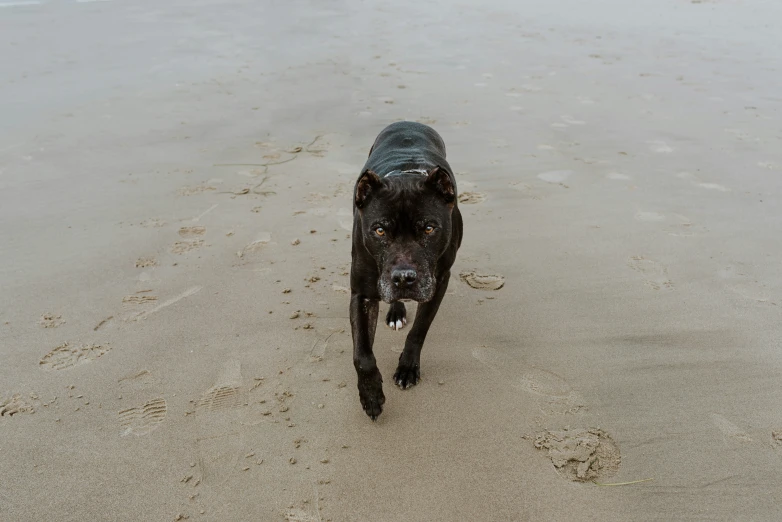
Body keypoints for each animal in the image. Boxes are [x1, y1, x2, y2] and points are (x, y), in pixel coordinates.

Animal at [352, 122, 462, 418]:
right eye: (379, 230)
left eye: (429, 228)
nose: (404, 278)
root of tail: (408, 122)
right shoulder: (362, 293)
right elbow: (362, 354)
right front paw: (371, 395)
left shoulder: (438, 282)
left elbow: (419, 330)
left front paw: (407, 368)